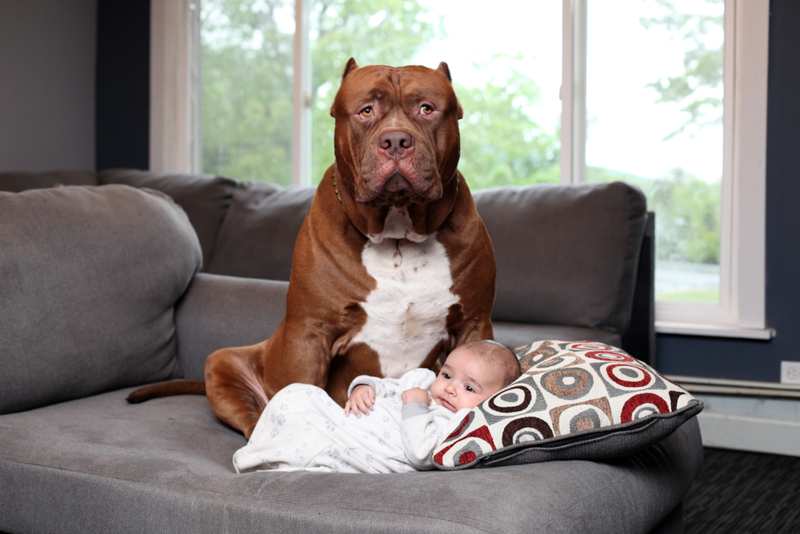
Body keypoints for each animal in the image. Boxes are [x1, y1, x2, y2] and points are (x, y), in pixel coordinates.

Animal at [126, 59, 494, 440]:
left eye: (427, 109)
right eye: (366, 111)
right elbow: (303, 389)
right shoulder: (309, 335)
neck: (398, 237)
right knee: (253, 415)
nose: (395, 140)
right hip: (223, 362)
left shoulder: (475, 324)